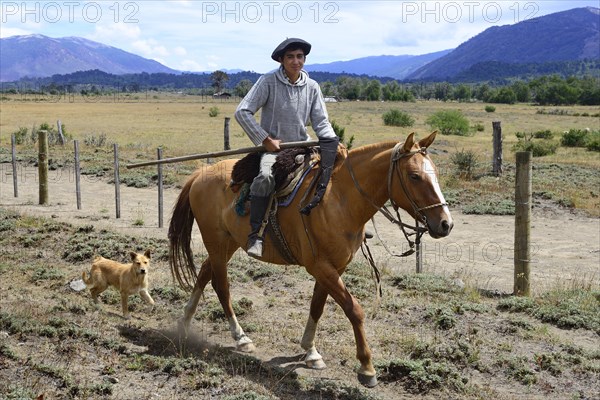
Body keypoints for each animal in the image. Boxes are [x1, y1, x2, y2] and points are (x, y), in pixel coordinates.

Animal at [166, 132, 452, 388]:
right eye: (414, 176)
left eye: (436, 173)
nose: (445, 224)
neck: (340, 200)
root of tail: (201, 174)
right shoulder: (320, 267)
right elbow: (354, 310)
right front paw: (367, 368)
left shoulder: (334, 267)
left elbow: (318, 306)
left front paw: (311, 351)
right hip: (216, 241)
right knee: (221, 285)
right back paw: (240, 337)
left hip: (228, 243)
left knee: (205, 272)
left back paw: (185, 321)